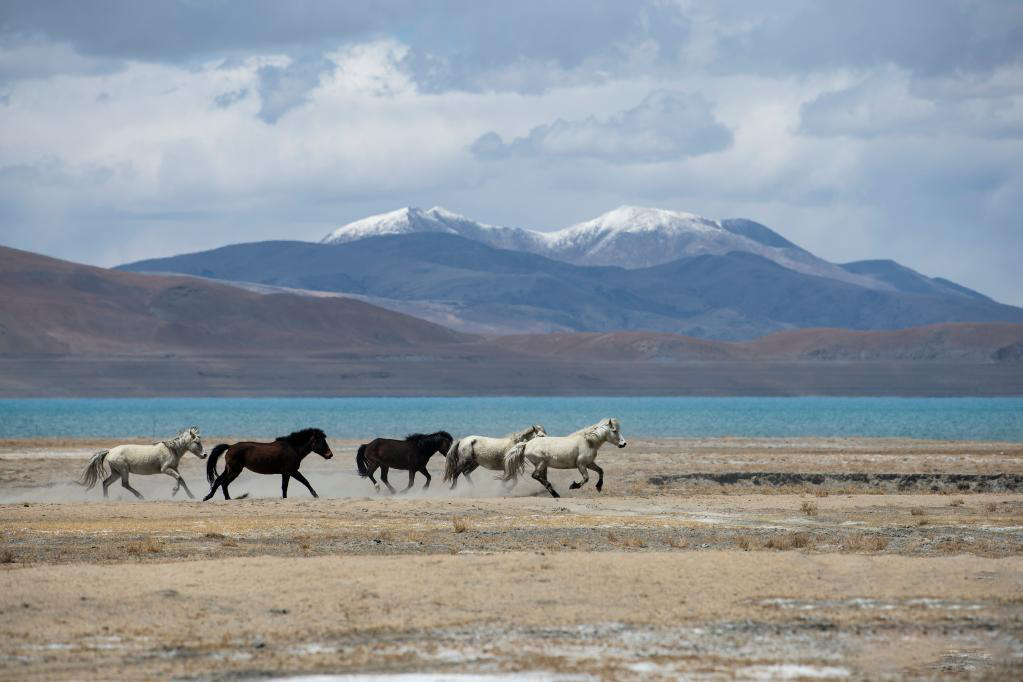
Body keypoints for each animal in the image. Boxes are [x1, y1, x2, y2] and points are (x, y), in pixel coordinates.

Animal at [77, 423, 205, 498]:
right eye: (197, 442)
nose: (205, 455)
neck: (171, 449)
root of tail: (110, 451)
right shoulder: (165, 469)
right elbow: (178, 478)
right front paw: (174, 491)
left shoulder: (174, 468)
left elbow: (181, 479)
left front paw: (191, 495)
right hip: (123, 470)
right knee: (124, 484)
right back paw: (140, 496)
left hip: (117, 472)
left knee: (106, 483)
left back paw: (107, 500)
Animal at [203, 427, 335, 501]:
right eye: (320, 440)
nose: (330, 455)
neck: (293, 448)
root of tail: (230, 447)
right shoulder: (292, 471)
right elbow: (306, 481)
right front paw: (316, 495)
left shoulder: (285, 473)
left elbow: (284, 488)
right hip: (235, 470)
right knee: (224, 483)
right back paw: (227, 498)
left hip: (229, 469)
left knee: (218, 481)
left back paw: (207, 497)